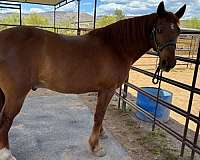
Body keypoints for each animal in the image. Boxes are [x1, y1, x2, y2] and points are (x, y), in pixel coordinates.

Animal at [0, 1, 186, 160]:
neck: (116, 47)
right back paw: (6, 153)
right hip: (16, 95)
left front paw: (101, 135)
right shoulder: (107, 90)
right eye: (159, 29)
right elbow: (99, 115)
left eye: (178, 31)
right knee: (6, 118)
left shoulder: (102, 90)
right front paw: (96, 147)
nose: (168, 63)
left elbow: (100, 116)